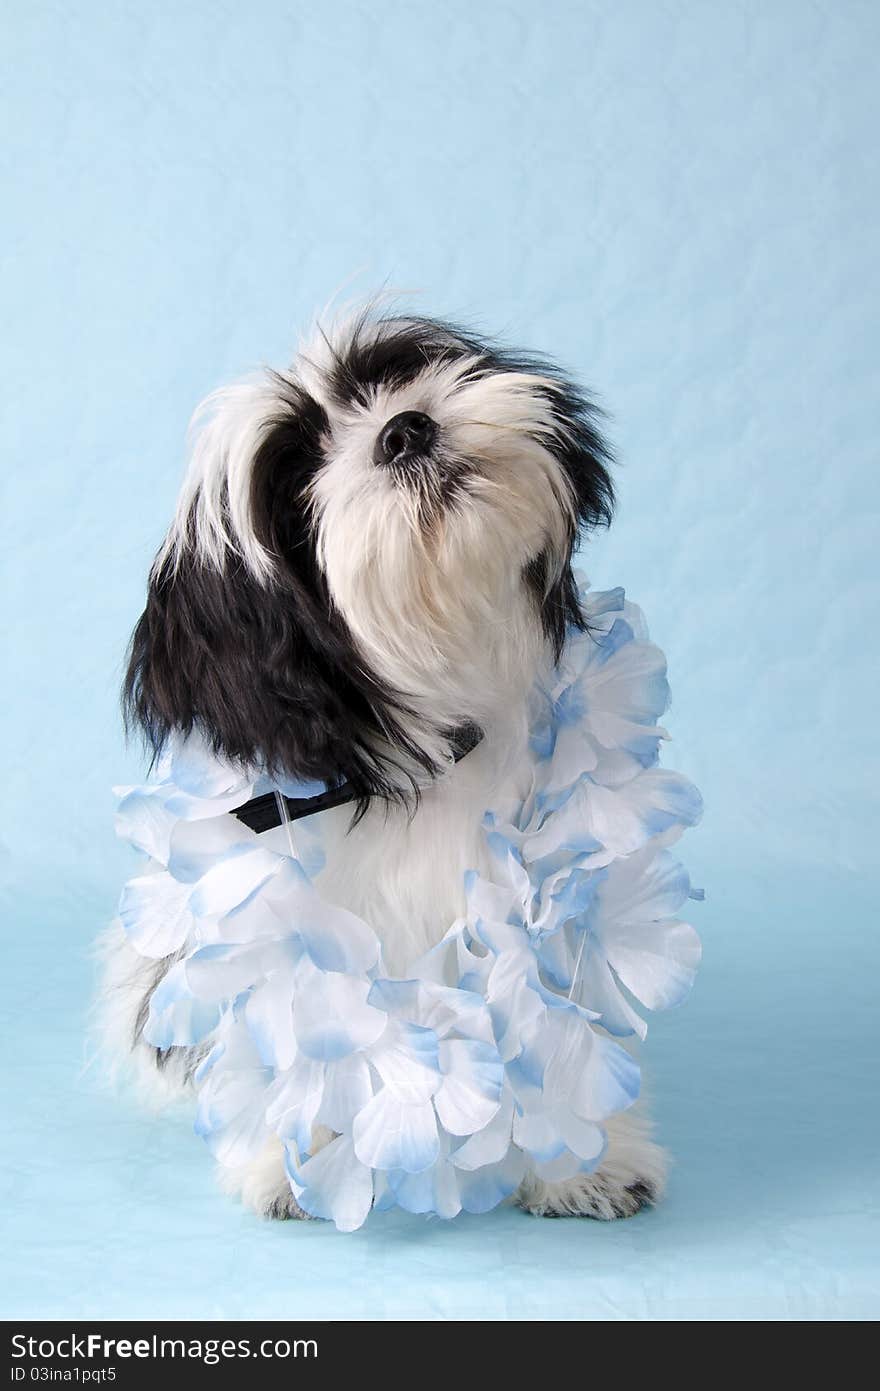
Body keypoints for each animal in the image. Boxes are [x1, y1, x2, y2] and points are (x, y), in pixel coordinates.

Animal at [101, 310, 664, 1224]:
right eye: (295, 478)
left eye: (389, 376)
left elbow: (552, 1012)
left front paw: (590, 1155)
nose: (405, 429)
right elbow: (301, 1029)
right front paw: (291, 1159)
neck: (438, 742)